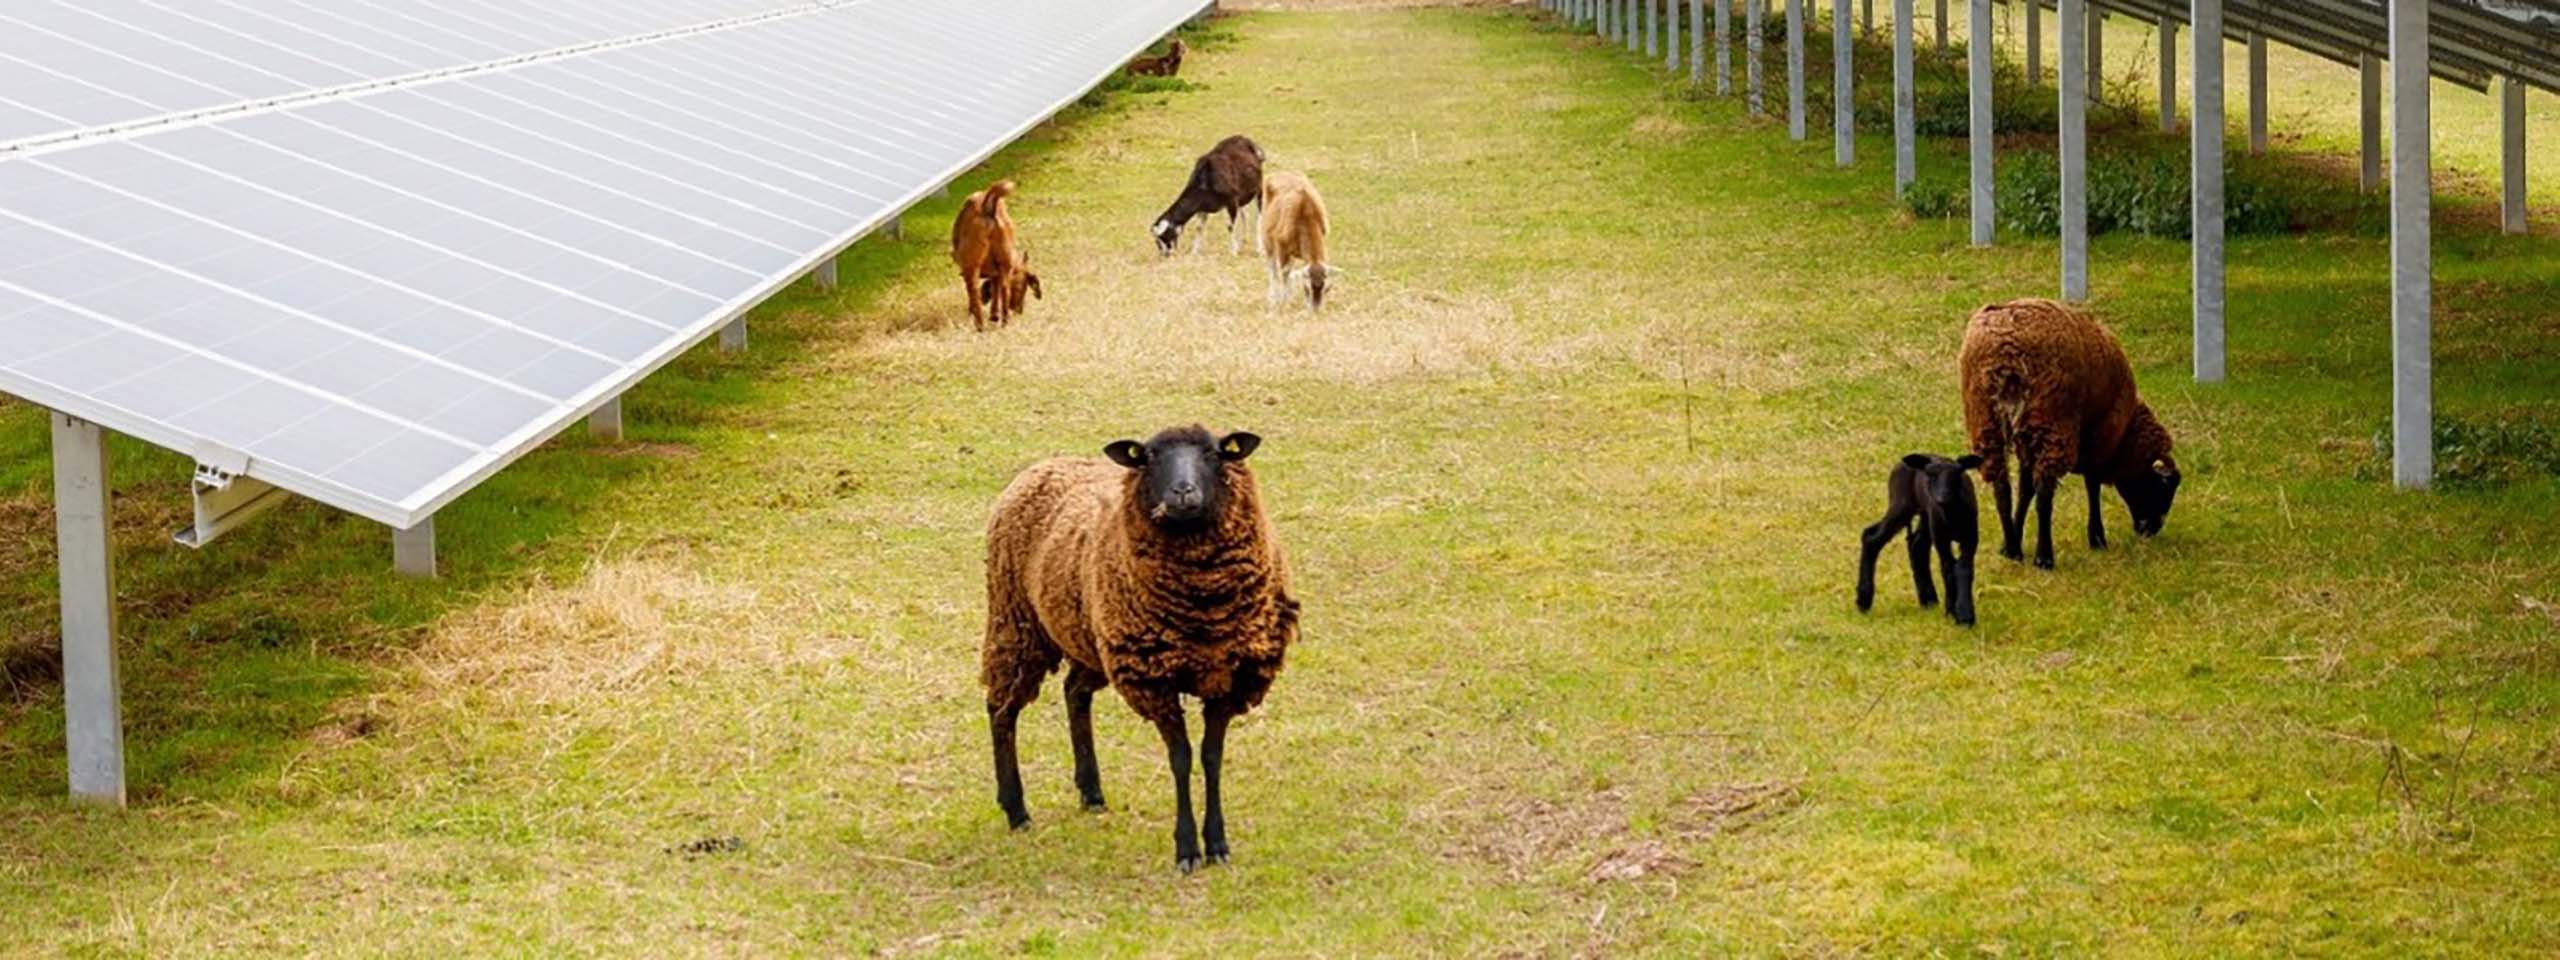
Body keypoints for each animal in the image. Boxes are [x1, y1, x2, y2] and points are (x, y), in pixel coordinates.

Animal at [950, 180, 1042, 331]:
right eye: (1023, 288)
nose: (1019, 310)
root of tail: (989, 210)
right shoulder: (998, 272)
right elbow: (996, 289)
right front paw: (994, 315)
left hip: (972, 266)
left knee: (974, 291)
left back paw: (979, 325)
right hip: (1004, 260)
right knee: (1003, 289)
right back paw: (1004, 321)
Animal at [982, 425, 1299, 874]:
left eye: (1213, 453)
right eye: (1149, 457)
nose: (1182, 491)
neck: (1202, 608)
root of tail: (1044, 465)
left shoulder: (1230, 676)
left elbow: (1211, 757)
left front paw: (1217, 843)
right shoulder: (1156, 681)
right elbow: (1181, 758)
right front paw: (1187, 849)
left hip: (1089, 636)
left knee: (1074, 693)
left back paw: (1091, 792)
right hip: (1015, 621)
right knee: (1001, 708)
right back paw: (1016, 809)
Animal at [1259, 171, 1330, 311]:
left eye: (1326, 289)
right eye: (1307, 288)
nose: (1315, 309)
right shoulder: (1282, 248)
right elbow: (1284, 273)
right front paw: (1284, 302)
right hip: (1267, 240)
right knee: (1272, 269)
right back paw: (1272, 298)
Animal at [1856, 453, 1985, 627]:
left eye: (1957, 474)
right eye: (1930, 475)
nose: (1942, 498)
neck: (1952, 516)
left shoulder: (1971, 537)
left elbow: (1964, 569)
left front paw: (1964, 615)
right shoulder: (1941, 538)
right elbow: (1948, 569)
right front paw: (1955, 612)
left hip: (1924, 514)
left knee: (1917, 545)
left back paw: (1928, 600)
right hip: (1902, 503)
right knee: (1872, 538)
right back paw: (1863, 599)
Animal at [1959, 298, 2182, 570]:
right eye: (2163, 487)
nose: (2150, 530)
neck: (2124, 435)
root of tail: (2006, 359)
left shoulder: (2026, 439)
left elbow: (2025, 490)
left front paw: (2011, 541)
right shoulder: (2099, 436)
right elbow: (2092, 485)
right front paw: (2097, 538)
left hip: (1985, 418)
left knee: (2002, 489)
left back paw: (2013, 550)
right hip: (2051, 420)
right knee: (2045, 495)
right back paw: (2044, 557)